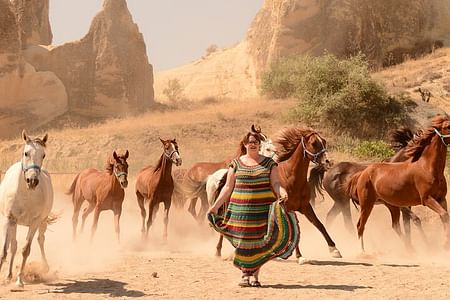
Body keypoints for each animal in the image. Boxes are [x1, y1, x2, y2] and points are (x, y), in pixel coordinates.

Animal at [0, 130, 53, 288]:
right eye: (26, 153)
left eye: (43, 155)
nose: (32, 181)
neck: (25, 193)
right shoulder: (8, 219)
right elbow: (4, 250)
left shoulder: (35, 222)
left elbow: (25, 250)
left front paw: (19, 280)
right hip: (14, 223)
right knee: (13, 246)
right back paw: (8, 275)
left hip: (42, 222)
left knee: (40, 240)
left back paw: (45, 267)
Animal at [348, 115, 450, 253]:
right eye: (448, 126)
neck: (427, 168)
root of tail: (362, 173)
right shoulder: (427, 199)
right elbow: (443, 215)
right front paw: (444, 245)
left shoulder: (441, 198)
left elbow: (445, 217)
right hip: (367, 204)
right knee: (360, 225)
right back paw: (363, 252)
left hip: (392, 206)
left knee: (395, 226)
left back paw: (411, 250)